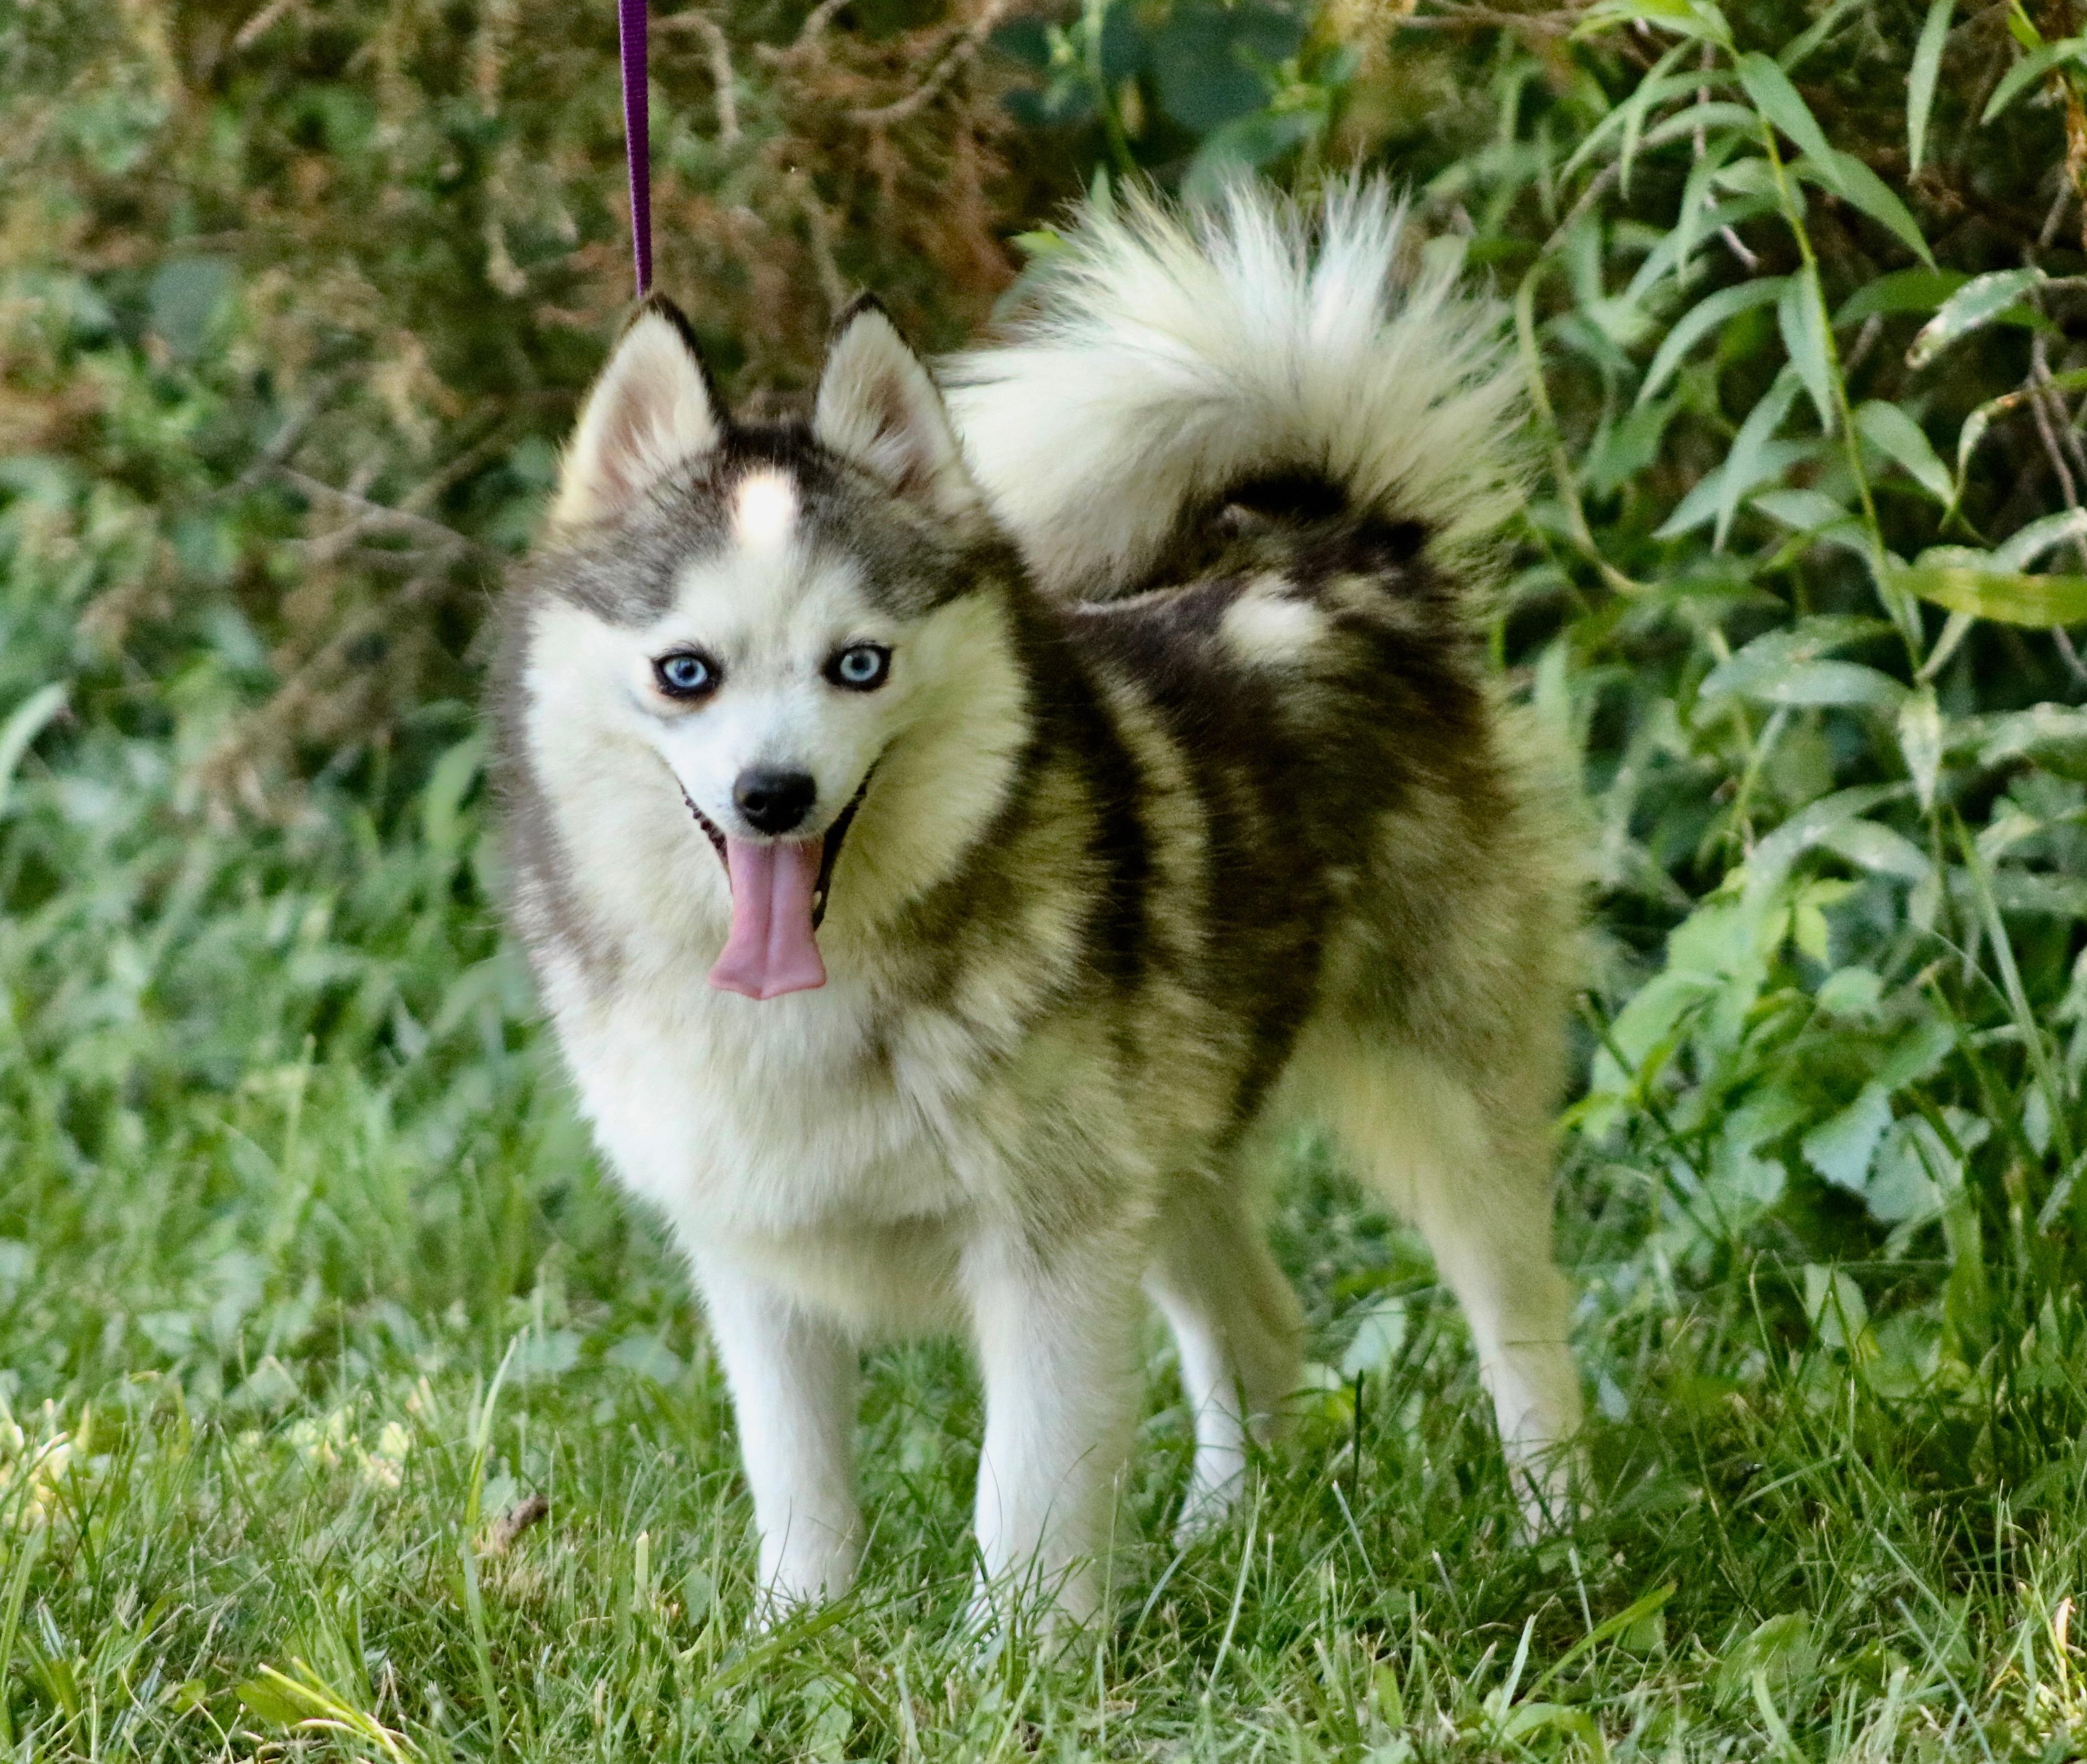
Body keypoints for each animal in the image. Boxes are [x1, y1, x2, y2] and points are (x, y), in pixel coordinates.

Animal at [493, 179, 1584, 1626]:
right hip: (1171, 1152)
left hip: (1440, 1104)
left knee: (1521, 1319)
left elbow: (1025, 1493)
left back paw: (1558, 1531)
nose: (774, 795)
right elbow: (798, 1486)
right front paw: (793, 1632)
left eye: (858, 664)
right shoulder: (757, 1265)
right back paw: (1224, 1542)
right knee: (1258, 1333)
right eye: (687, 672)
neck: (830, 987)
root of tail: (1345, 563)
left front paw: (1020, 1655)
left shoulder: (1049, 1255)